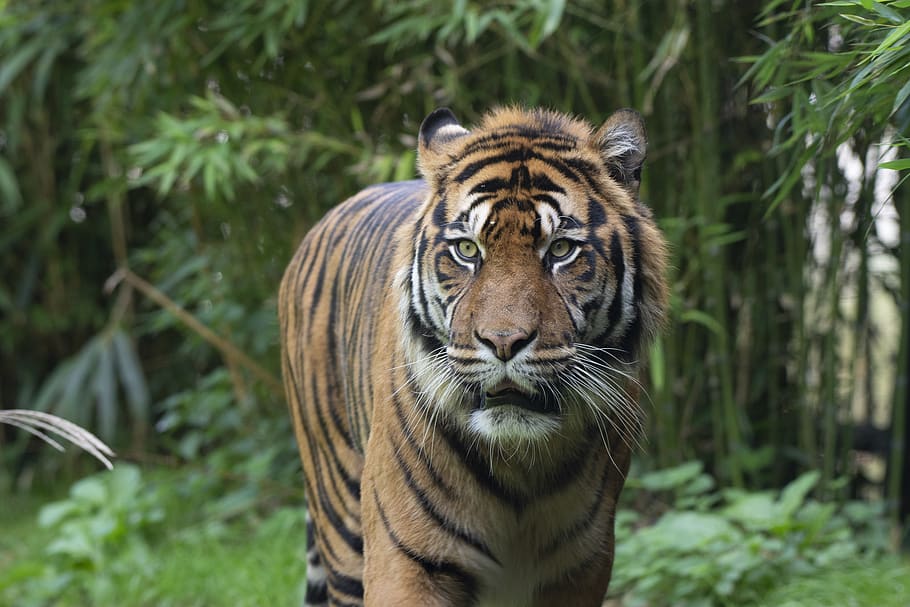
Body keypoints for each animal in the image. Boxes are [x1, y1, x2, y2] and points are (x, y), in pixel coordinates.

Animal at [278, 106, 669, 607]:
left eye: (561, 249)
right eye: (467, 249)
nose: (503, 342)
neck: (522, 467)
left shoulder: (582, 565)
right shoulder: (406, 560)